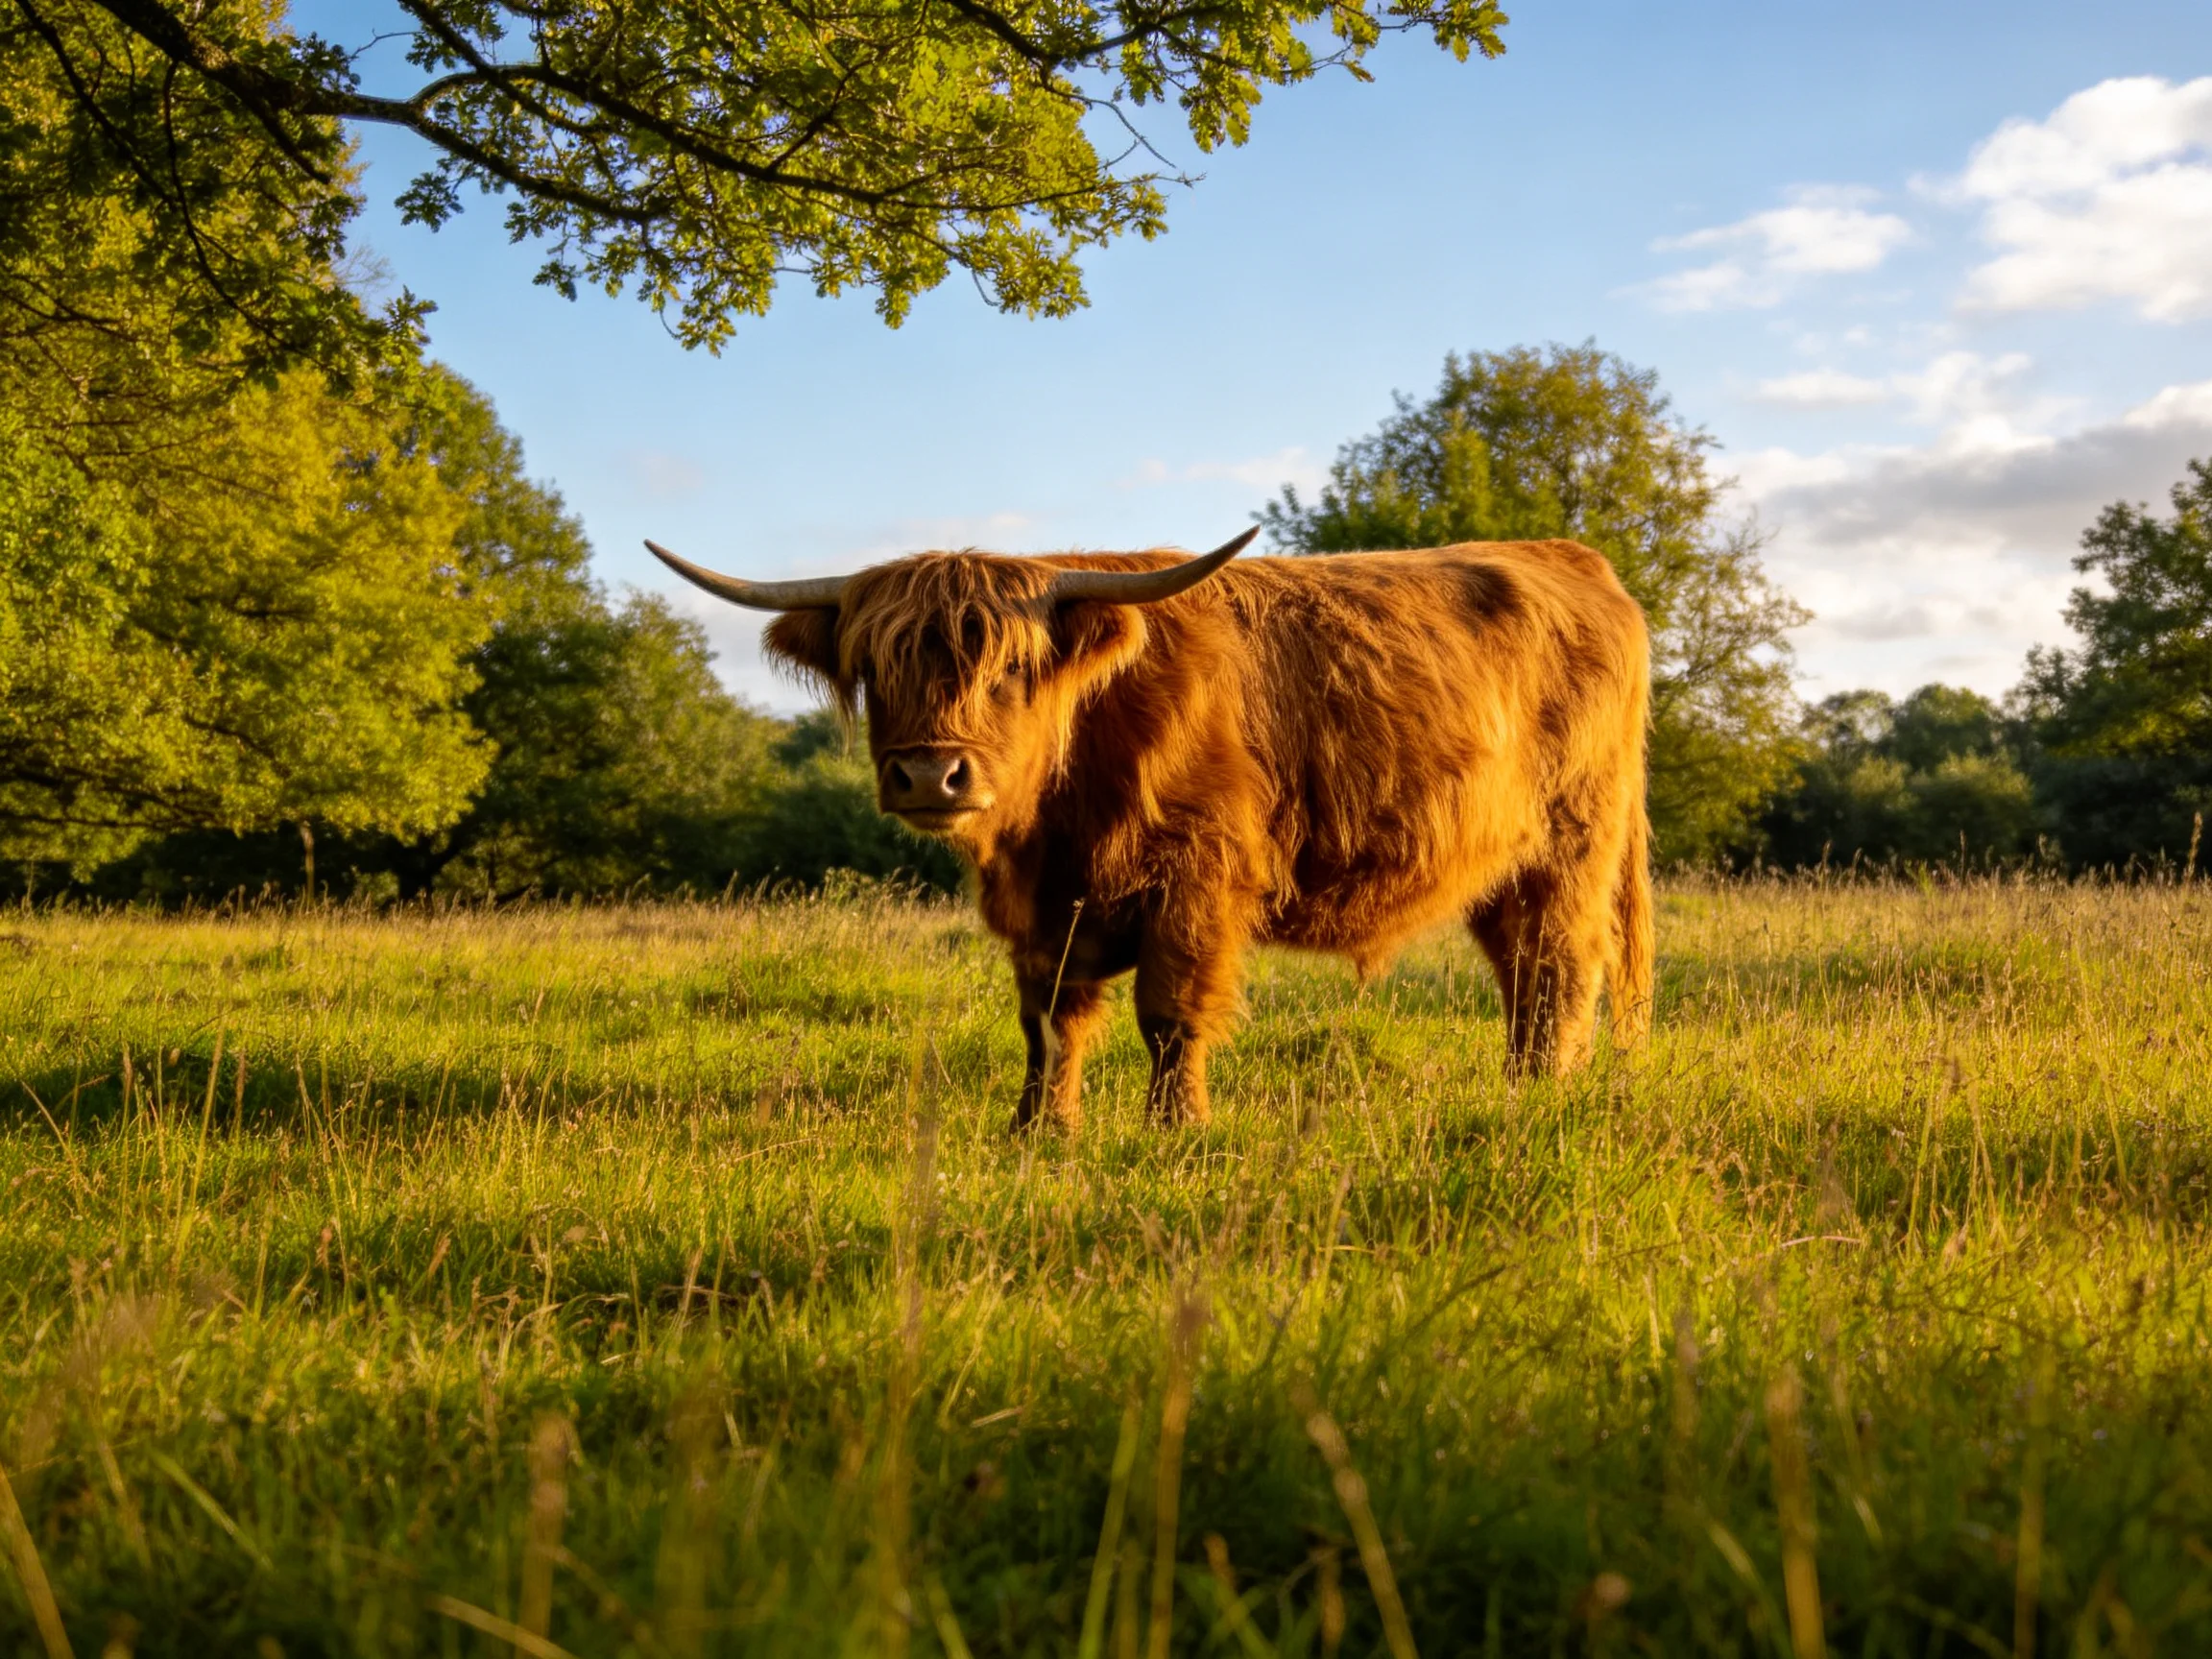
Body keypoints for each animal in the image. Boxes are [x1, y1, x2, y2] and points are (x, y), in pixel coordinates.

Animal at [648, 531, 1653, 1127]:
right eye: (878, 665)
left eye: (1011, 668)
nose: (931, 773)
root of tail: (1567, 554)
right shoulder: (1042, 911)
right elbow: (1048, 1023)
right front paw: (1038, 1130)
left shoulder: (1198, 878)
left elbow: (1169, 1016)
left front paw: (1177, 1130)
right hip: (1498, 866)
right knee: (1521, 971)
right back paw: (1521, 1086)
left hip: (1572, 843)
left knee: (1561, 963)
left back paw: (1543, 1094)